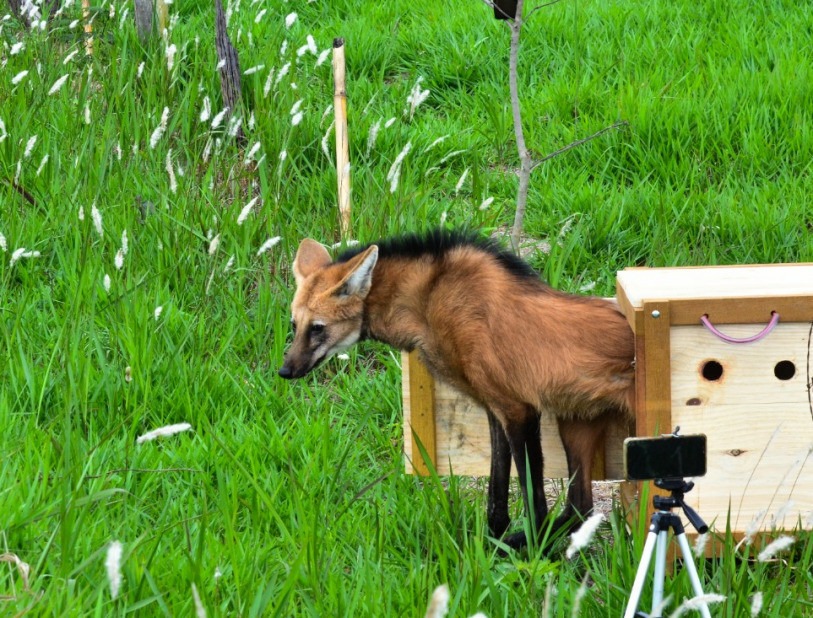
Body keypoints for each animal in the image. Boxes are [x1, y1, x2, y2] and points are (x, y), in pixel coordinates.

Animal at [280, 229, 636, 548]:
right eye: (295, 326)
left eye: (318, 328)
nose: (285, 371)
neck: (428, 303)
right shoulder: (494, 406)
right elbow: (496, 488)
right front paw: (492, 541)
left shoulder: (518, 410)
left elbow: (532, 499)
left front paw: (523, 551)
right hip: (574, 422)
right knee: (580, 507)